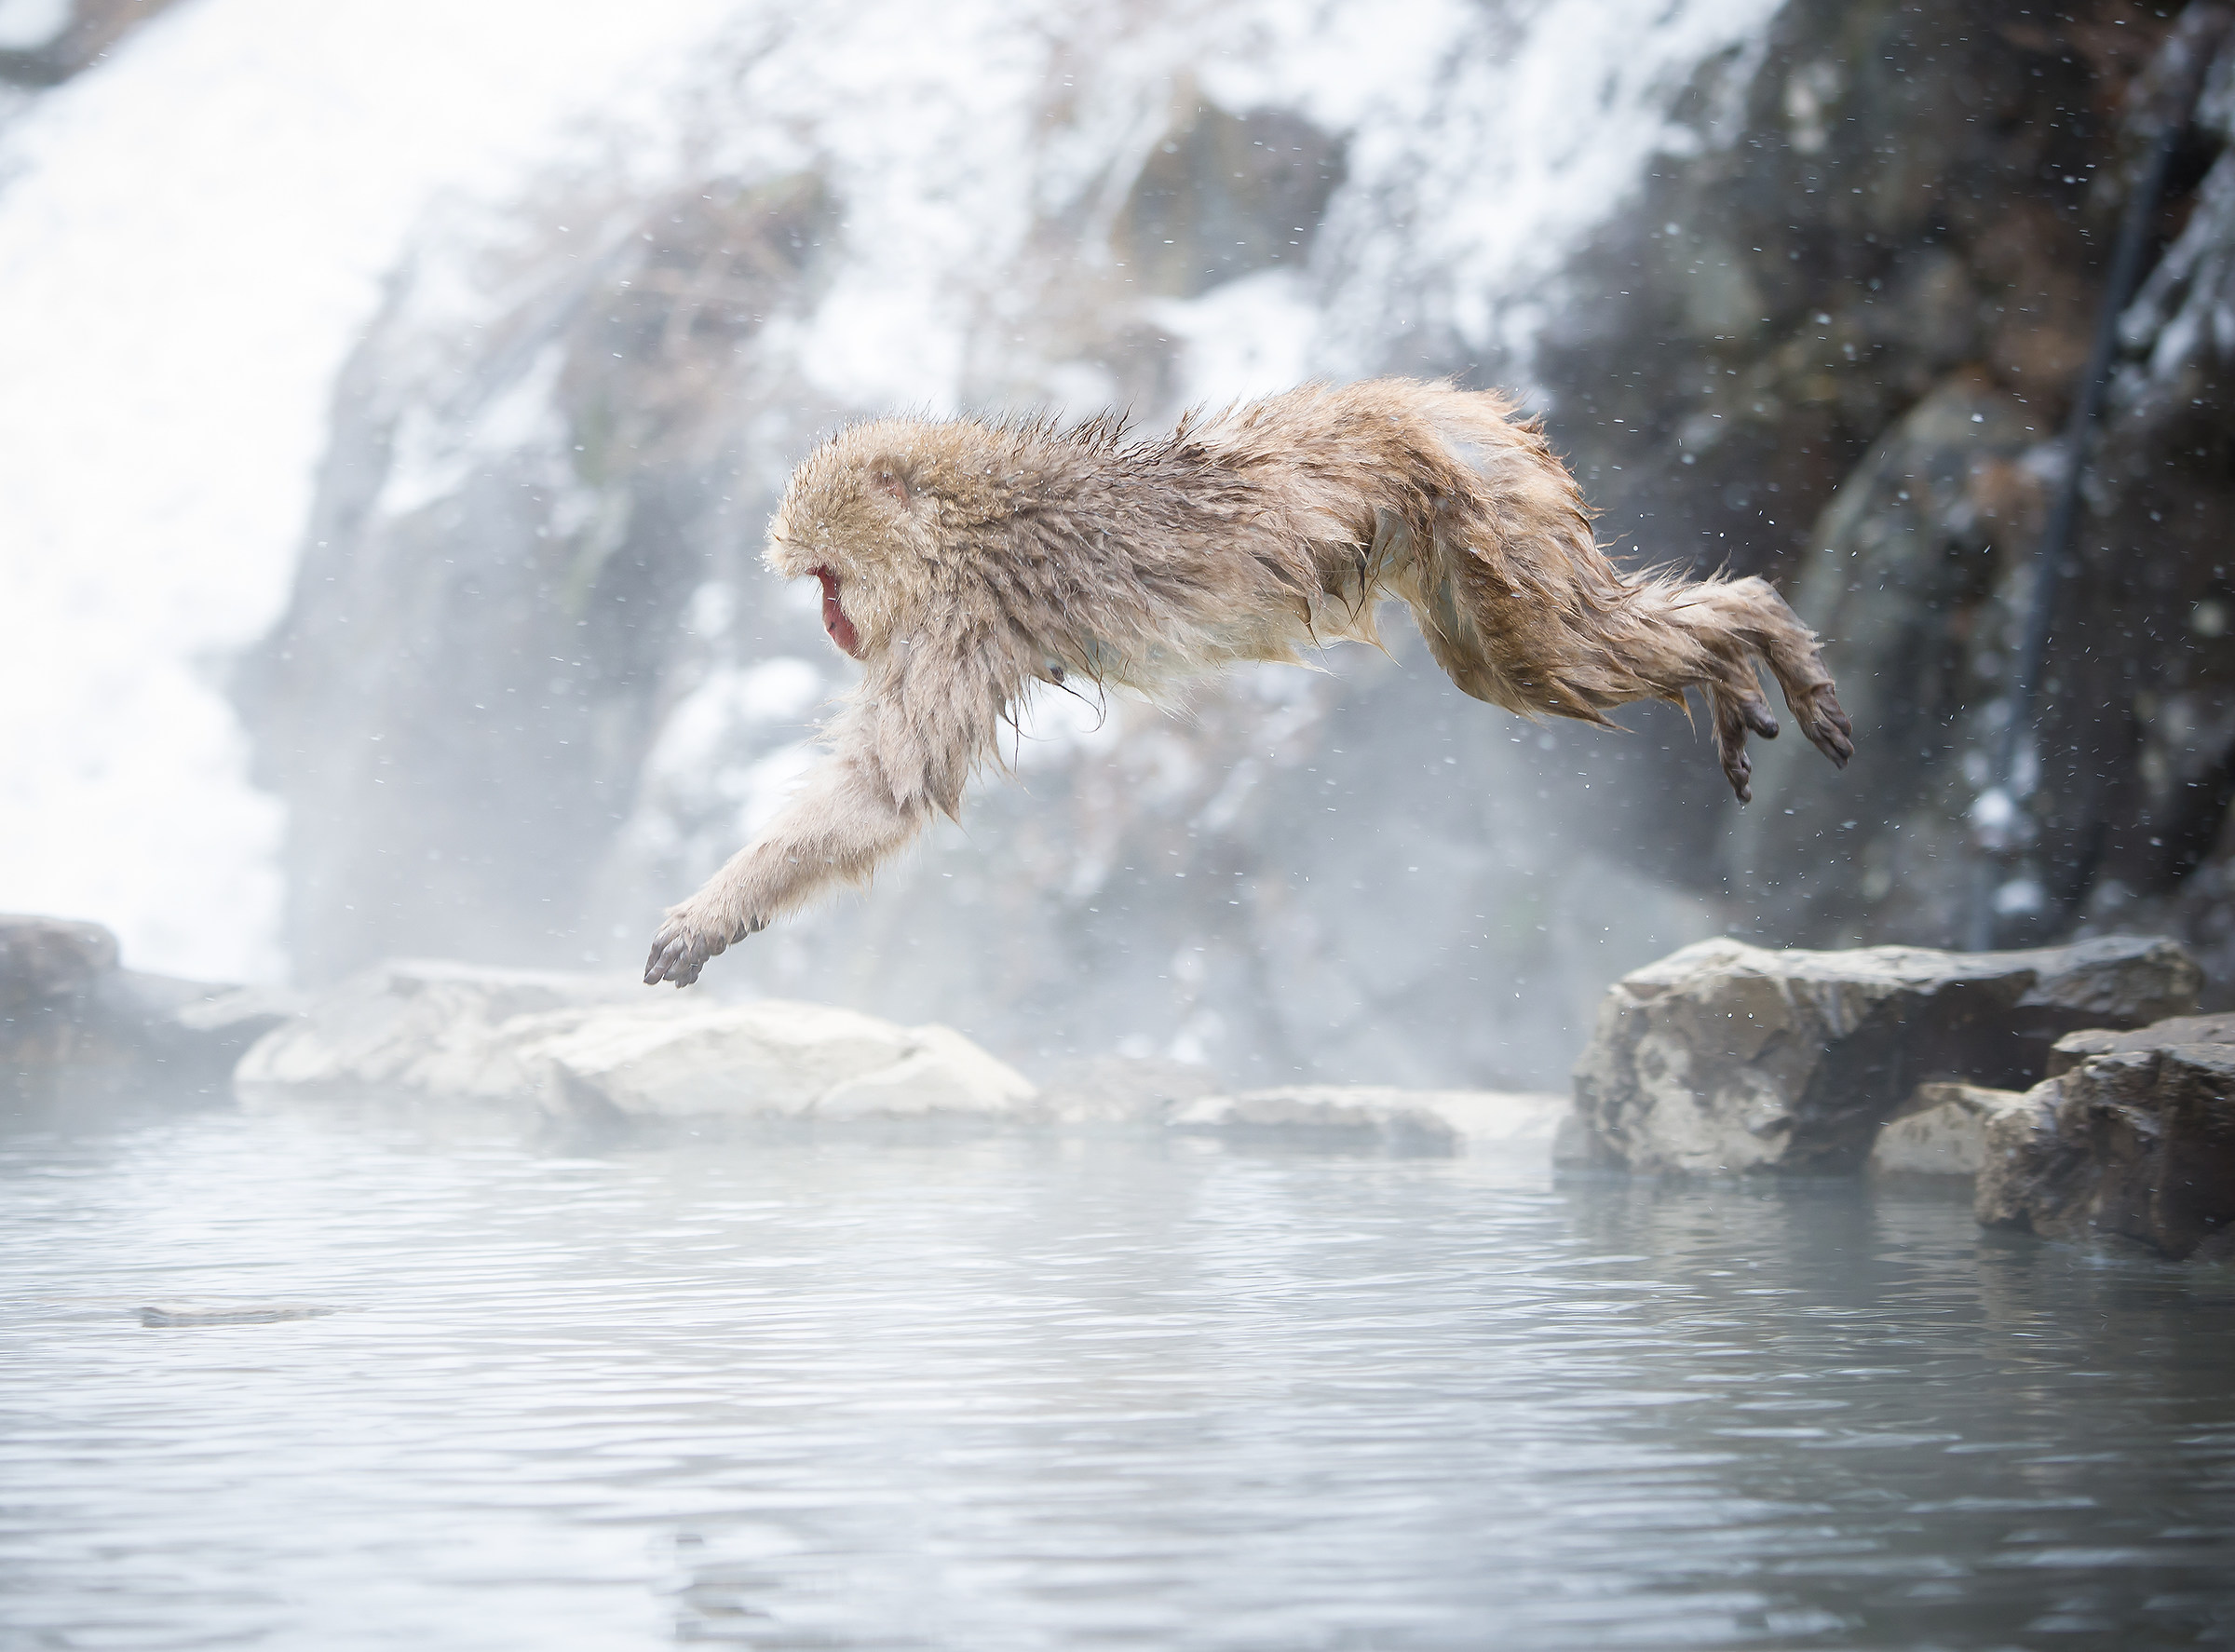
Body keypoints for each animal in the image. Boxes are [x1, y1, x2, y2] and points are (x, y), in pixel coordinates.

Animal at [643, 377, 1852, 987]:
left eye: (826, 576)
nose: (833, 623)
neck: (969, 513)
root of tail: (1448, 404)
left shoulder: (956, 619)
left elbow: (884, 789)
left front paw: (709, 914)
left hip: (1492, 515)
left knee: (1558, 654)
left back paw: (1754, 629)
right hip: (1471, 551)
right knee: (1517, 667)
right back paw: (1734, 666)